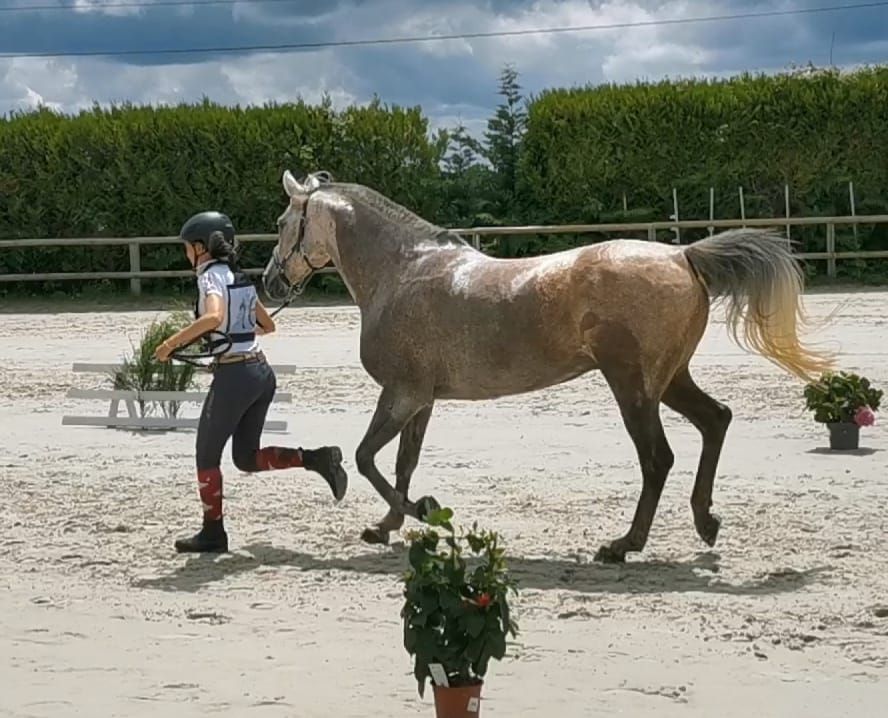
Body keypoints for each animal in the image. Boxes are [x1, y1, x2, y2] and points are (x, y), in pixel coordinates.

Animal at [261, 170, 834, 563]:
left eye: (283, 224)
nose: (269, 283)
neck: (403, 272)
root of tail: (681, 256)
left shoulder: (403, 394)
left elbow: (364, 458)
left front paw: (421, 512)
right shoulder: (419, 399)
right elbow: (401, 463)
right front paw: (387, 525)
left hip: (633, 388)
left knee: (658, 459)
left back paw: (623, 545)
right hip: (669, 379)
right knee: (716, 420)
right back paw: (704, 521)